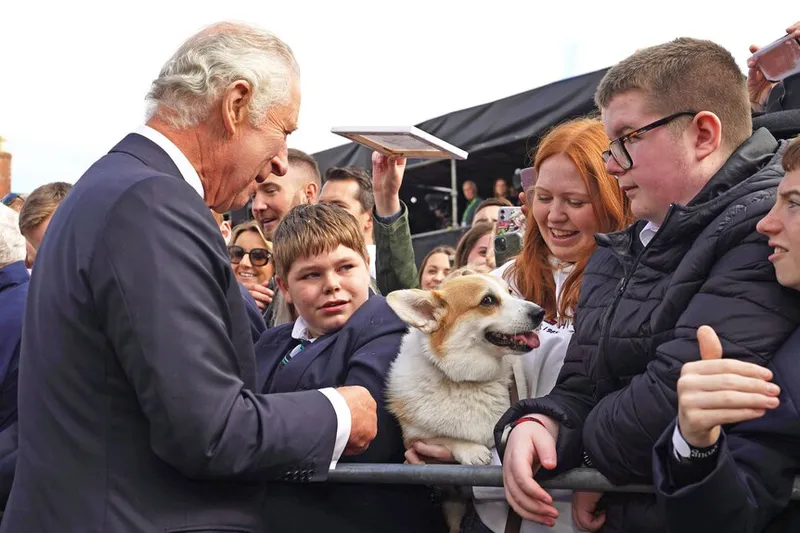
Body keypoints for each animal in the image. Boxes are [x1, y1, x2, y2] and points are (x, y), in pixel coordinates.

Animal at [386, 274, 544, 532]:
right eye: (487, 300)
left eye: (510, 292)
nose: (540, 312)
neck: (467, 380)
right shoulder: (414, 442)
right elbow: (445, 437)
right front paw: (471, 450)